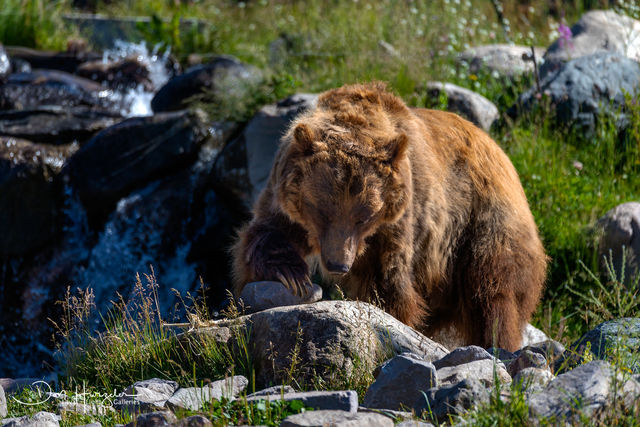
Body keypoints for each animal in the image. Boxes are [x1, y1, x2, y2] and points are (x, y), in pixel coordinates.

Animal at [232, 82, 547, 351]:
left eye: (364, 215)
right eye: (321, 210)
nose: (338, 264)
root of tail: (501, 153)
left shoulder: (401, 220)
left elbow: (387, 281)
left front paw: (387, 314)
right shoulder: (285, 194)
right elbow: (268, 235)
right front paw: (291, 276)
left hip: (481, 221)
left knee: (493, 292)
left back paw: (496, 343)